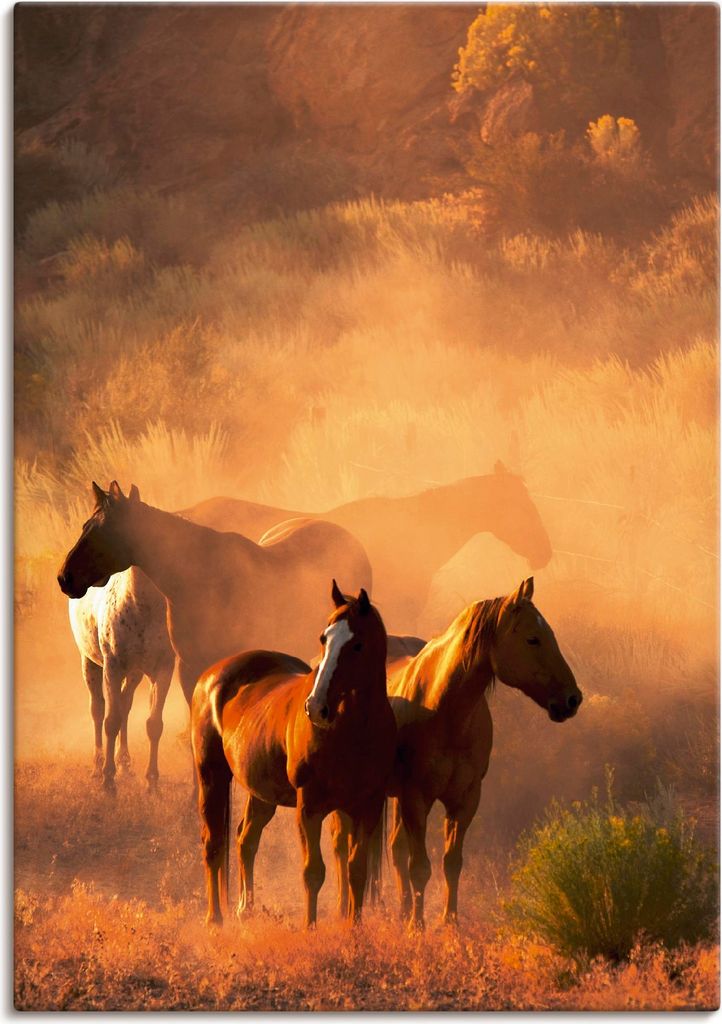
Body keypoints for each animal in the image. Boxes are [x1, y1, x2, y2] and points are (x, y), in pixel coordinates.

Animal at [68, 564, 175, 789]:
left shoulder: (163, 669)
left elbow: (153, 723)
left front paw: (152, 781)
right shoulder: (112, 668)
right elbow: (111, 721)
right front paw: (108, 778)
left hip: (134, 674)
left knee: (125, 705)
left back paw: (124, 762)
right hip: (89, 664)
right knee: (98, 709)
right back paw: (97, 766)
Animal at [191, 580, 396, 928]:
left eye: (357, 645)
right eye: (323, 638)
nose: (316, 707)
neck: (353, 731)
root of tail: (212, 676)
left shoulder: (366, 806)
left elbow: (356, 870)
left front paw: (354, 929)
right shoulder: (308, 807)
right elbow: (313, 872)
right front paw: (309, 929)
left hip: (261, 793)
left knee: (246, 839)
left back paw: (245, 908)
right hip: (211, 777)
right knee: (213, 844)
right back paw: (214, 919)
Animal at [331, 577, 582, 928]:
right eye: (533, 639)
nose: (573, 699)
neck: (445, 709)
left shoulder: (464, 799)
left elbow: (451, 863)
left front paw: (449, 923)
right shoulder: (417, 798)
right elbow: (420, 867)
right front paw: (417, 928)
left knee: (394, 850)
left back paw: (402, 911)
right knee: (342, 848)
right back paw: (344, 910)